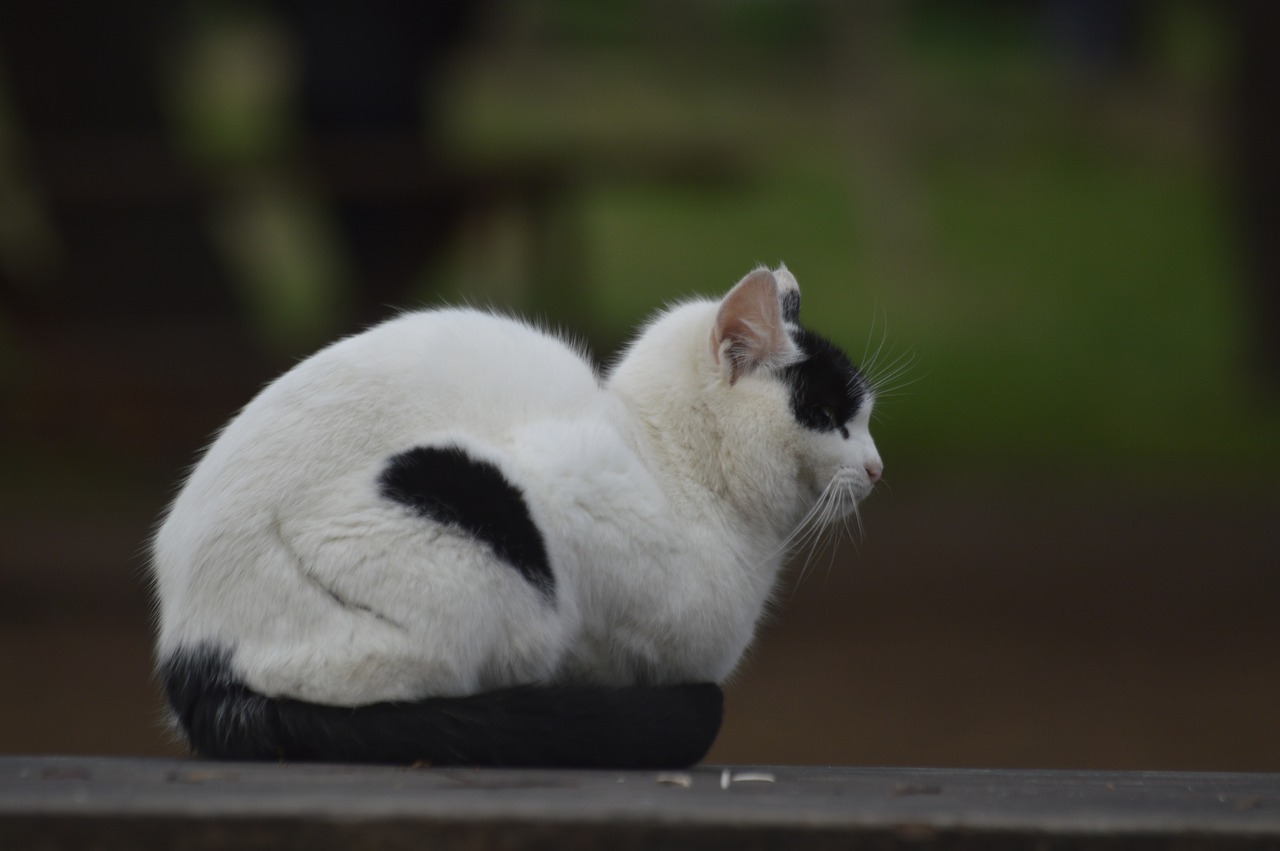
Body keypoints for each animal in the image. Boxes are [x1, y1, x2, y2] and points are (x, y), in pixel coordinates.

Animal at [152, 266, 880, 767]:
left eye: (865, 417)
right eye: (830, 417)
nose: (877, 467)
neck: (667, 460)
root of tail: (186, 645)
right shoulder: (570, 481)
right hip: (471, 516)